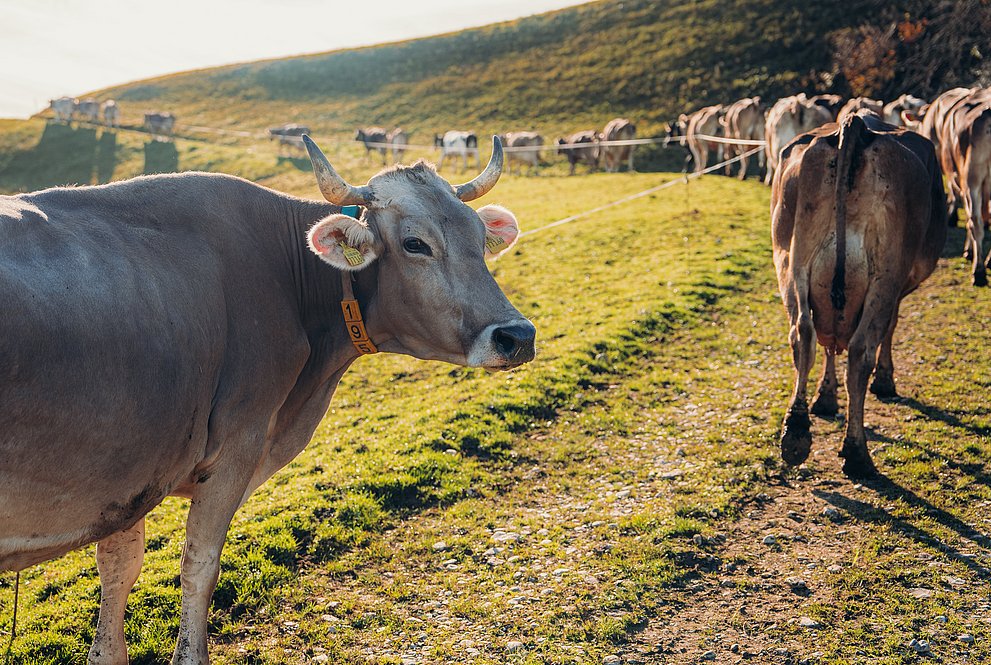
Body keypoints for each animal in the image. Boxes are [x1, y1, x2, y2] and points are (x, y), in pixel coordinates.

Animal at [0, 134, 536, 660]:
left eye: (479, 239)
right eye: (414, 244)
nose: (518, 336)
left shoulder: (130, 474)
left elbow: (118, 571)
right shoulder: (236, 445)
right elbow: (199, 567)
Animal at [772, 113, 948, 478]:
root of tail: (857, 125)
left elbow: (828, 343)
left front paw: (825, 398)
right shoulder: (896, 288)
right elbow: (890, 328)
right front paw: (885, 380)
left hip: (791, 260)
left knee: (804, 334)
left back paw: (795, 434)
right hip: (884, 275)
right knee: (859, 351)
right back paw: (857, 454)